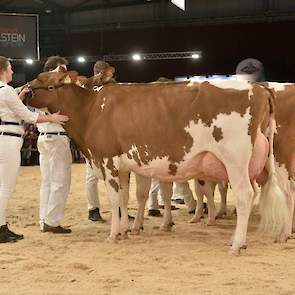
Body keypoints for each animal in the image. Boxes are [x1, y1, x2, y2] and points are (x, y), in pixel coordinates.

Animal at [25, 71, 290, 254]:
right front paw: (125, 230)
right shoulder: (124, 166)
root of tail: (259, 88)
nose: (23, 90)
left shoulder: (107, 160)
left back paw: (237, 245)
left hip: (235, 159)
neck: (92, 110)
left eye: (45, 81)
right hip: (266, 161)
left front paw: (113, 235)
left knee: (246, 195)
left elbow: (114, 199)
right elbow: (124, 198)